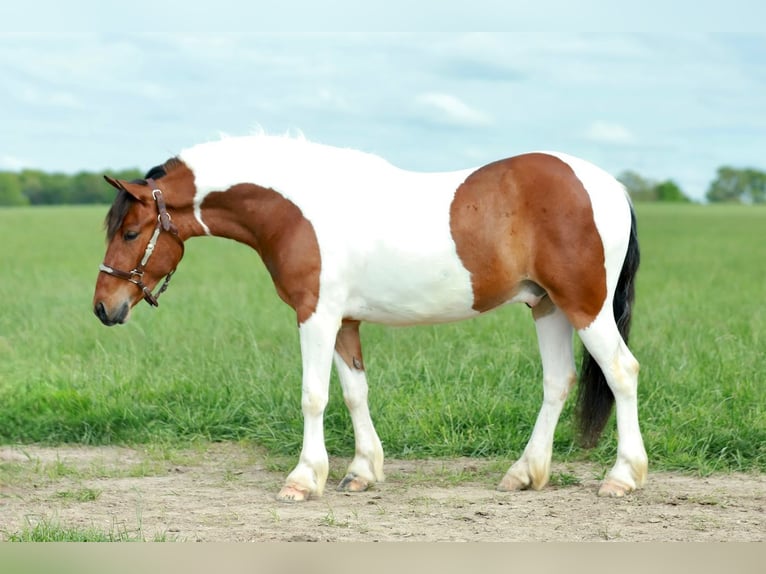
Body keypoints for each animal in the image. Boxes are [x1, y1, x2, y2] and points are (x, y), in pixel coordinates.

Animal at [92, 134, 648, 502]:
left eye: (130, 232)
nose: (103, 307)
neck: (300, 209)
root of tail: (612, 189)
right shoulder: (345, 322)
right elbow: (354, 392)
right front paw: (361, 471)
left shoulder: (316, 316)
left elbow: (313, 396)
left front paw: (303, 479)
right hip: (547, 305)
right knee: (558, 381)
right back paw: (524, 473)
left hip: (584, 305)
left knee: (622, 372)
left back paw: (621, 477)